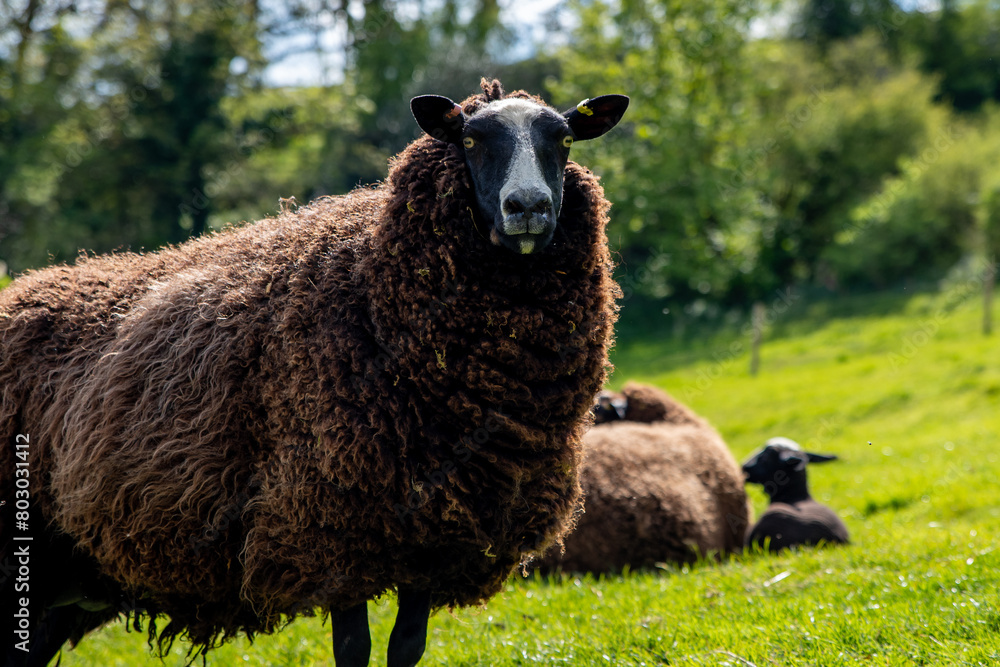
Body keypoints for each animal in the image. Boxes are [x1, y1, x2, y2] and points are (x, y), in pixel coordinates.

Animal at [0, 79, 624, 667]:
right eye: (470, 140)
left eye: (564, 140)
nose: (528, 208)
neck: (374, 285)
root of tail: (27, 287)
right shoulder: (331, 530)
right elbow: (353, 649)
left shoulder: (431, 541)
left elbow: (406, 648)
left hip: (68, 579)